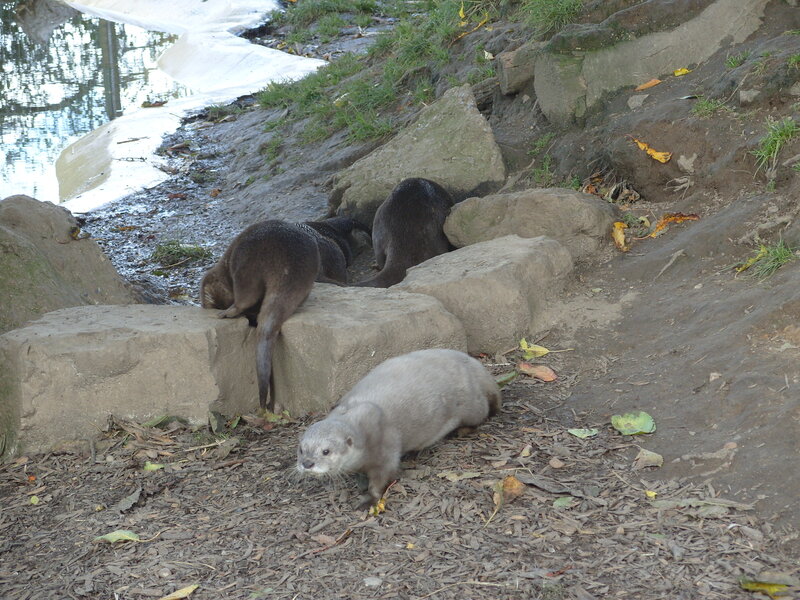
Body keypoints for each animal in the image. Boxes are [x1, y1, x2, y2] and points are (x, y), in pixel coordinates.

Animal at [296, 349, 502, 507]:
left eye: (326, 451)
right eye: (301, 450)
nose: (307, 463)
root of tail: (475, 365)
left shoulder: (385, 446)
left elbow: (383, 476)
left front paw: (369, 500)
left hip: (473, 405)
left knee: (486, 412)